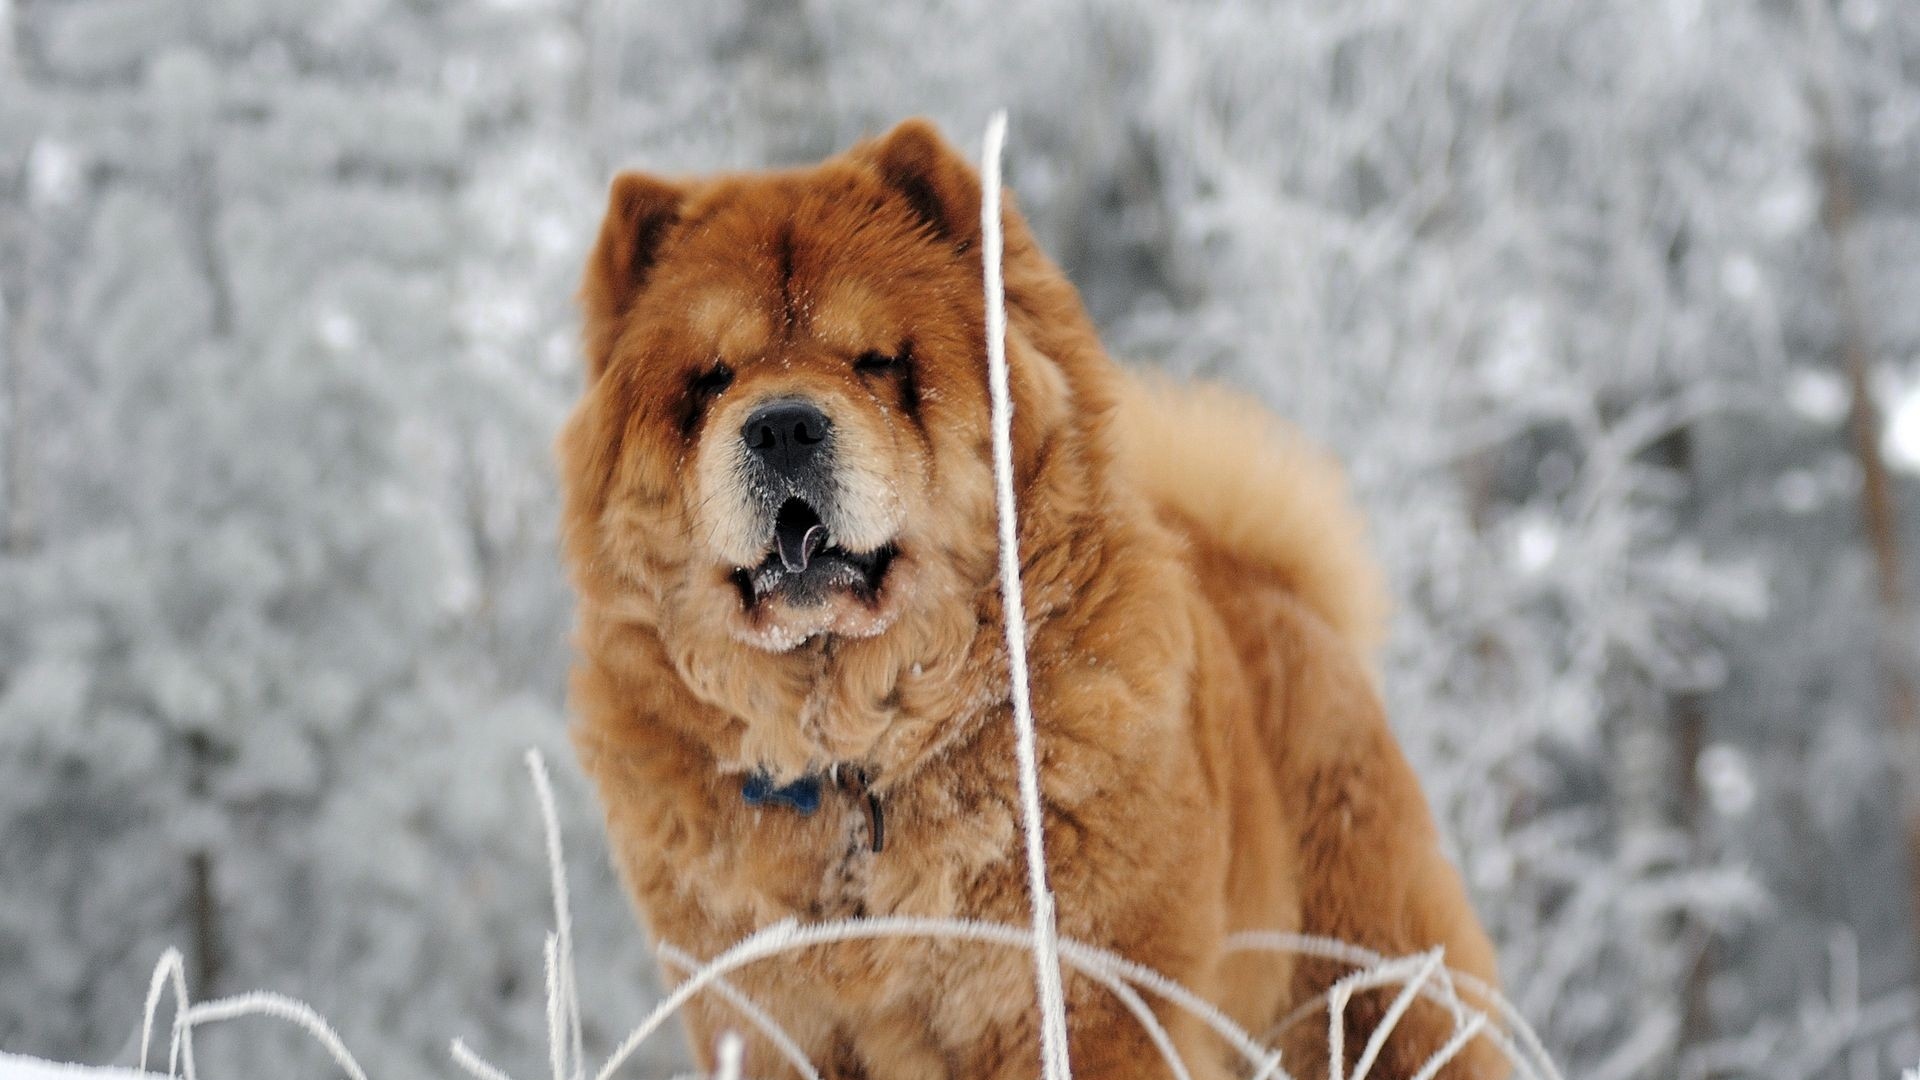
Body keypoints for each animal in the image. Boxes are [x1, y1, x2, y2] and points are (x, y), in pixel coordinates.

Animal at [560, 118, 1504, 1079]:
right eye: (713, 379)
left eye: (877, 364)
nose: (782, 424)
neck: (859, 767)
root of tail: (1278, 585)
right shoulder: (763, 1027)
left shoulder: (1085, 1002)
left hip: (1370, 990)